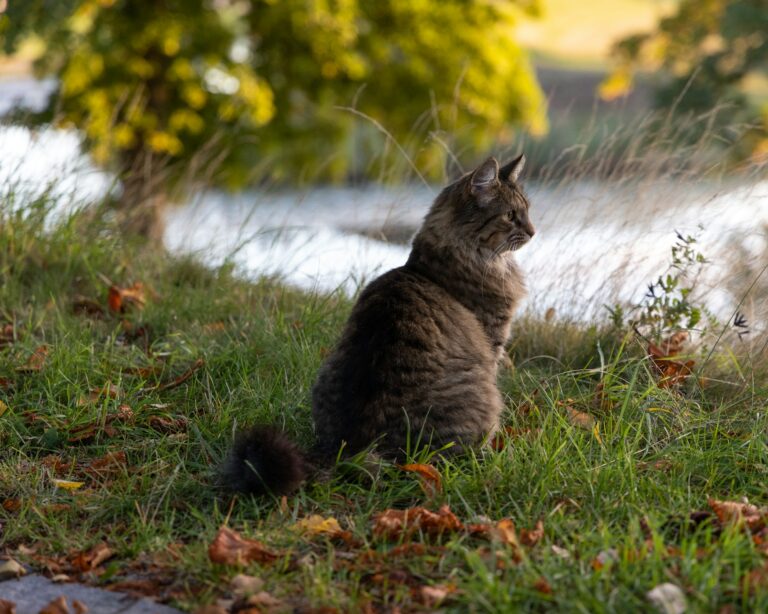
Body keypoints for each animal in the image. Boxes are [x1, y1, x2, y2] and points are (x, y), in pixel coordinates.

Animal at [222, 155, 536, 496]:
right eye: (511, 216)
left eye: (528, 211)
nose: (534, 232)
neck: (432, 265)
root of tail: (352, 448)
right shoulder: (493, 341)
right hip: (482, 399)